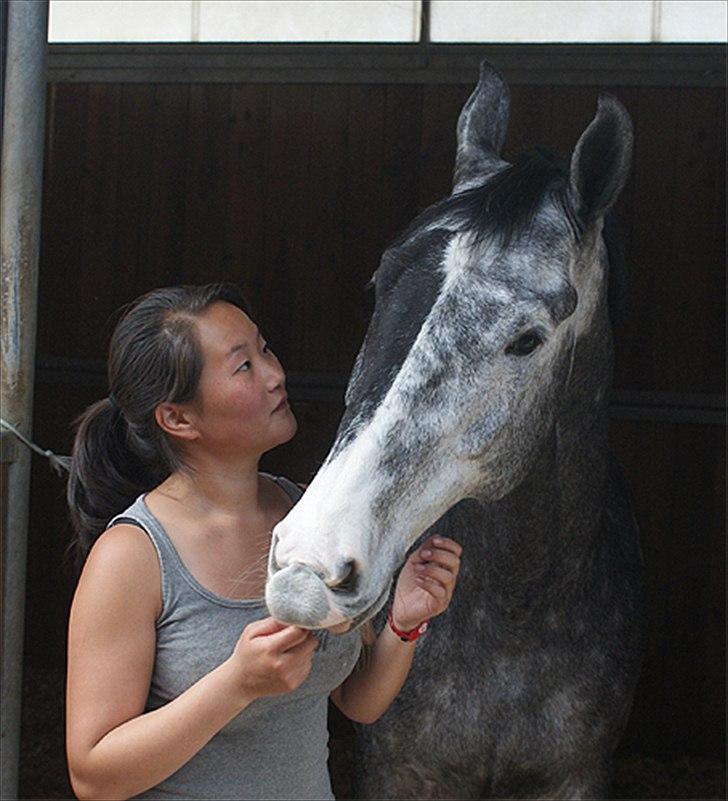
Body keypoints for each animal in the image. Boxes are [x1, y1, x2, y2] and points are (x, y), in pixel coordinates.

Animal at [268, 62, 644, 800]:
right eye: (378, 286)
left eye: (527, 339)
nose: (306, 568)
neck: (518, 615)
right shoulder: (395, 771)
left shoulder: (580, 775)